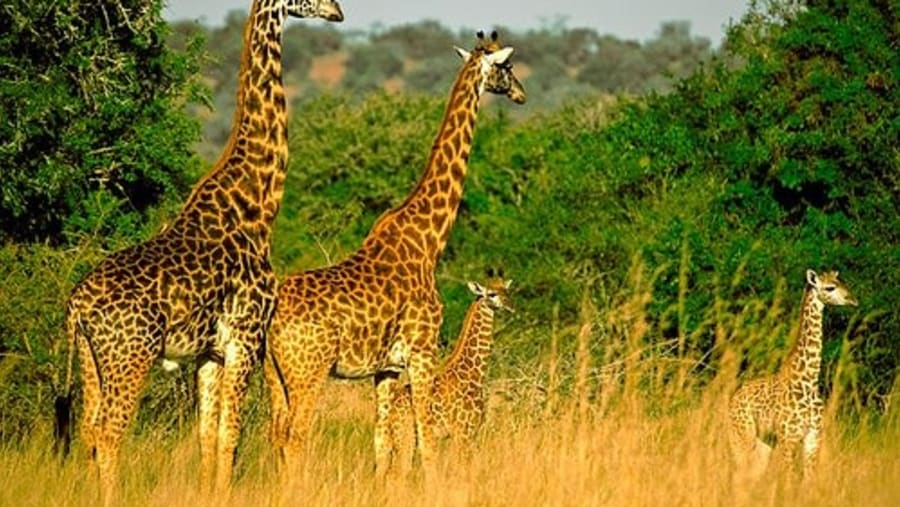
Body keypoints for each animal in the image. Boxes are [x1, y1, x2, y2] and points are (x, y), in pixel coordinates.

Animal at [54, 0, 344, 501]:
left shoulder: (210, 353)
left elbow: (207, 434)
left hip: (92, 359)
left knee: (90, 429)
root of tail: (78, 306)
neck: (256, 206)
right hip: (130, 356)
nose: (339, 11)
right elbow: (231, 432)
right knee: (109, 432)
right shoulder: (246, 337)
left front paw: (210, 493)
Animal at [384, 274, 514, 476]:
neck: (474, 371)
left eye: (507, 291)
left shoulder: (467, 432)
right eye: (491, 294)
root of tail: (391, 410)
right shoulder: (462, 431)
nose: (510, 305)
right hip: (405, 435)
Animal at [728, 269, 857, 492]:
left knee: (751, 476)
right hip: (743, 435)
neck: (809, 381)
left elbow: (808, 481)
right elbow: (788, 481)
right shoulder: (788, 437)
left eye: (842, 282)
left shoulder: (813, 436)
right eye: (830, 287)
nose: (853, 300)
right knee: (738, 475)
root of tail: (733, 398)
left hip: (764, 442)